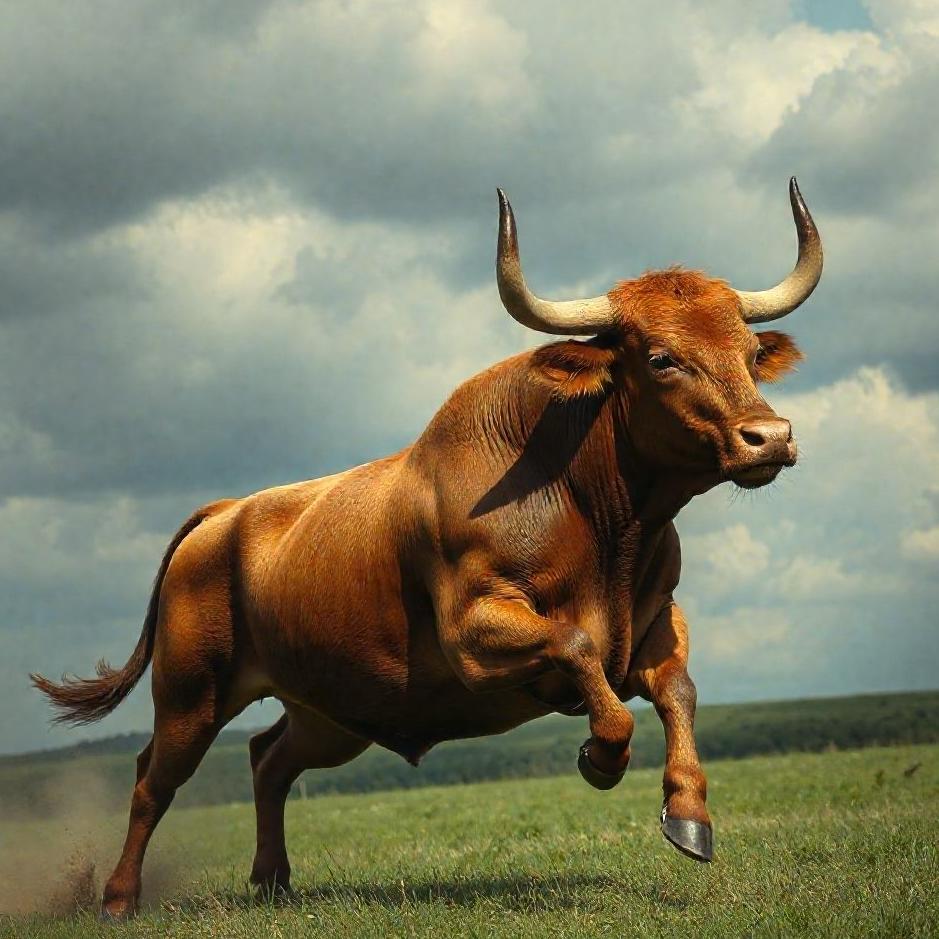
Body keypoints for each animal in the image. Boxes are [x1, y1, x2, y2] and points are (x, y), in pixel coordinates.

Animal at [33, 178, 822, 920]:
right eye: (660, 358)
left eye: (749, 351)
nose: (769, 437)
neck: (601, 527)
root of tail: (226, 514)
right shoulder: (474, 633)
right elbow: (576, 648)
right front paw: (600, 756)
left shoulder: (656, 621)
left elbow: (678, 690)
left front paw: (688, 813)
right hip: (191, 694)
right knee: (152, 780)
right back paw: (118, 897)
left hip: (329, 711)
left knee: (268, 760)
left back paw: (272, 878)